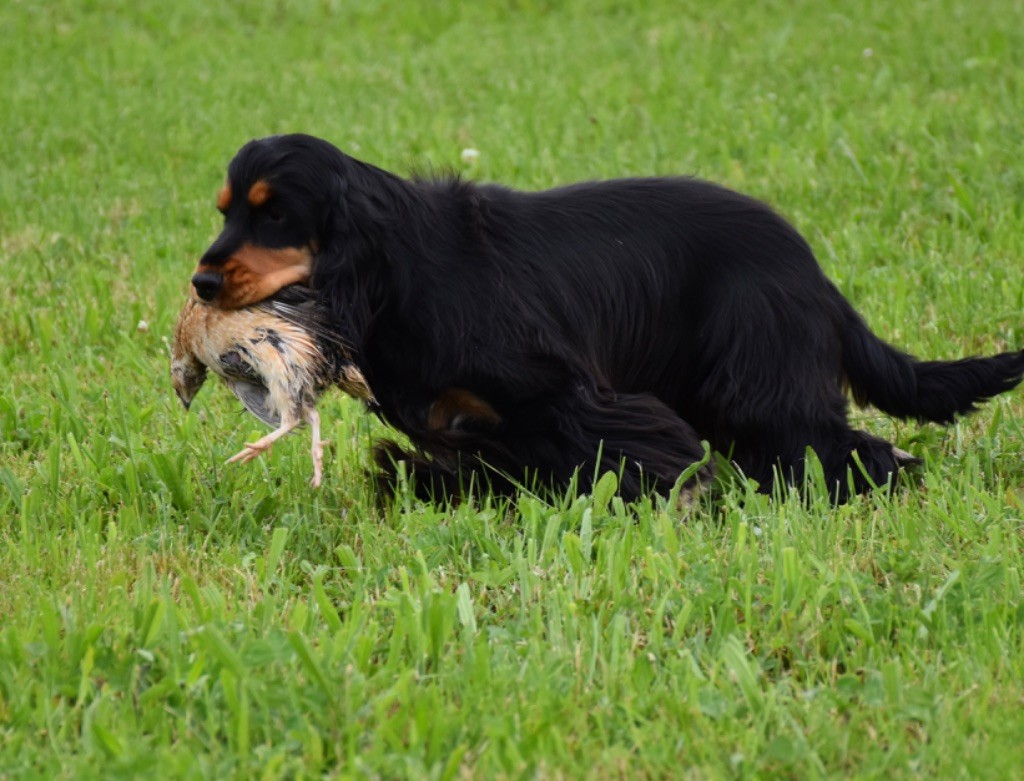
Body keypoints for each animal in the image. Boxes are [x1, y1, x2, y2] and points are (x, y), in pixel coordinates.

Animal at [190, 134, 1024, 501]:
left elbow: (633, 448)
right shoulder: (479, 424)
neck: (392, 271)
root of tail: (809, 265)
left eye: (275, 214)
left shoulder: (565, 392)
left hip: (755, 382)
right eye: (226, 211)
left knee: (850, 446)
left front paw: (674, 496)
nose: (201, 280)